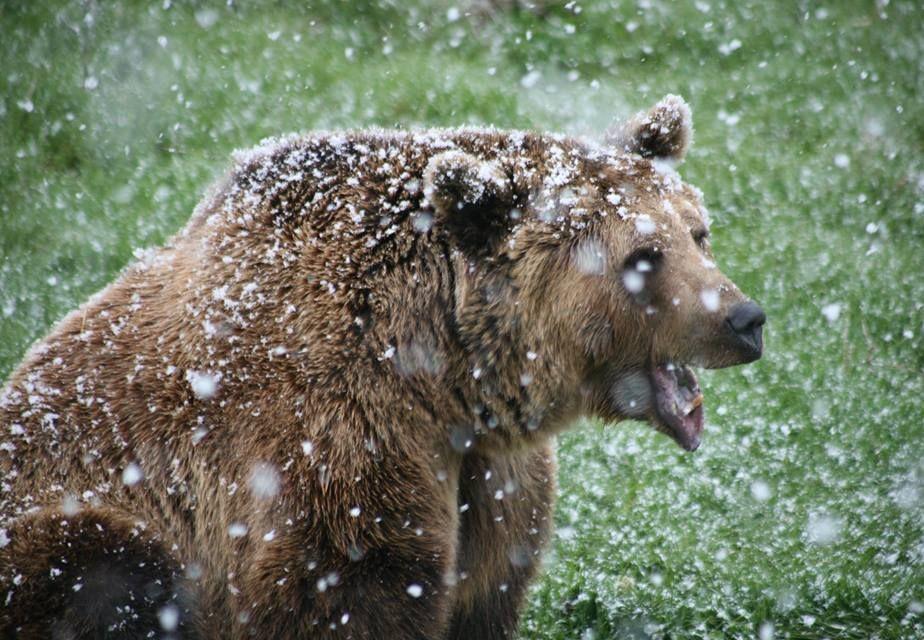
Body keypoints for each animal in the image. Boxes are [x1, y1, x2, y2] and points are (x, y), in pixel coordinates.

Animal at [1, 92, 764, 636]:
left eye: (698, 233)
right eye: (643, 257)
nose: (746, 319)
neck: (441, 376)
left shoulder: (495, 477)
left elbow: (488, 584)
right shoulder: (331, 446)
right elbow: (353, 586)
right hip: (69, 520)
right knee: (104, 570)